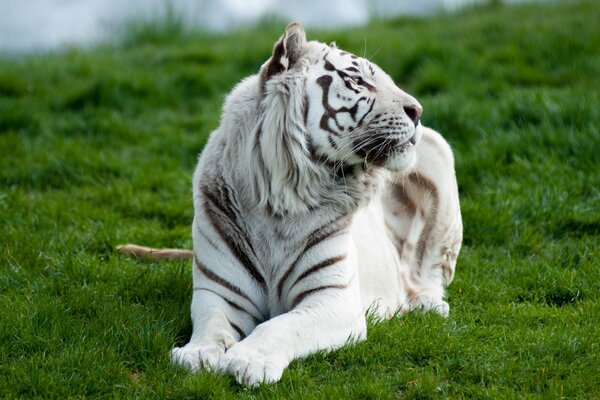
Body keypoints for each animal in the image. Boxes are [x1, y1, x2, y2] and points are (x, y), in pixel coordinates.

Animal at [119, 22, 462, 388]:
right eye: (357, 80)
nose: (418, 111)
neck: (280, 202)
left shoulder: (334, 299)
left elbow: (281, 326)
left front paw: (248, 359)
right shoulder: (220, 293)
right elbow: (213, 325)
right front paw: (198, 354)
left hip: (436, 150)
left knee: (429, 272)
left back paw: (426, 303)